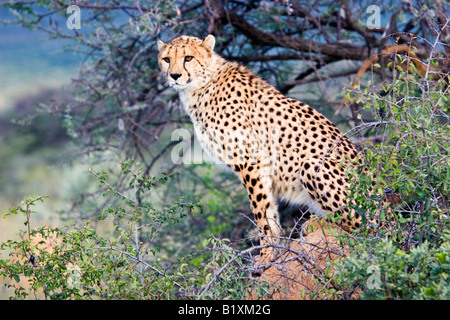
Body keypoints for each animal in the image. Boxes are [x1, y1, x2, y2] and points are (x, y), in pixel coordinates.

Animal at [158, 34, 370, 264]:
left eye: (188, 58)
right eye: (167, 59)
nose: (174, 75)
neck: (201, 86)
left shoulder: (251, 162)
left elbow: (260, 212)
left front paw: (266, 254)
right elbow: (269, 210)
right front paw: (275, 249)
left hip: (313, 164)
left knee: (363, 225)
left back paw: (318, 223)